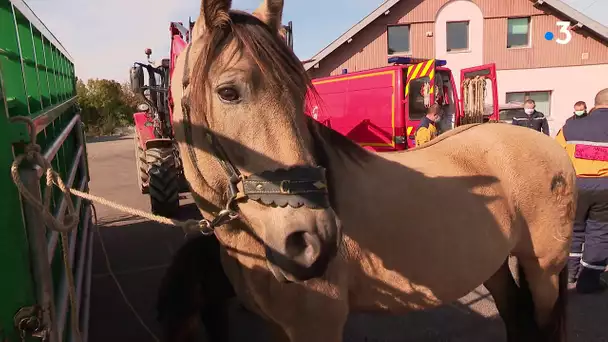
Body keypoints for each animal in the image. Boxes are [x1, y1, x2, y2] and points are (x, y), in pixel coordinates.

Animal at [159, 0, 576, 342]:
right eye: (228, 92)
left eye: (300, 94)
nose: (313, 242)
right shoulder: (278, 327)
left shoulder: (318, 327)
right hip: (493, 266)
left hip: (544, 271)